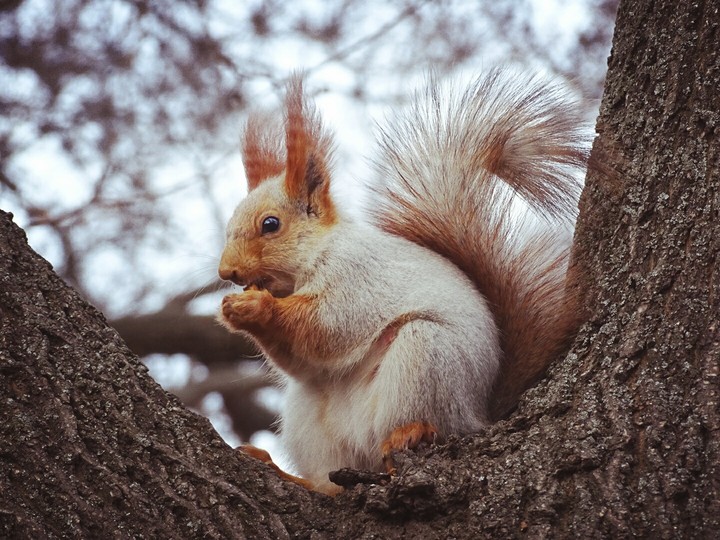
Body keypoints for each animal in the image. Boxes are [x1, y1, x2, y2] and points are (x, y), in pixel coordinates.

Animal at [217, 68, 589, 494]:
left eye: (270, 225)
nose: (226, 273)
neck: (311, 261)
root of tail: (479, 415)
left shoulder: (358, 277)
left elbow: (328, 325)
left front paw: (255, 307)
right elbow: (301, 361)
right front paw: (233, 311)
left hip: (426, 357)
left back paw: (411, 433)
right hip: (310, 418)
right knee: (334, 484)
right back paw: (291, 475)